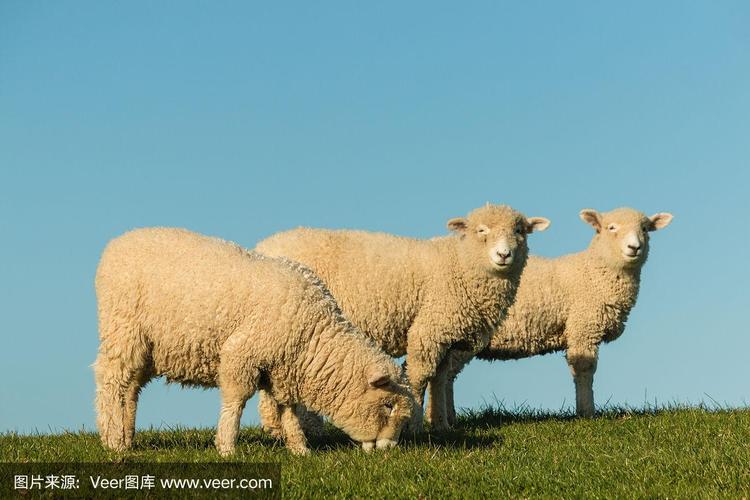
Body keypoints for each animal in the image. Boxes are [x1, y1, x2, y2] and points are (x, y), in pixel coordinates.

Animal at [92, 229, 418, 456]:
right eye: (388, 405)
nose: (389, 450)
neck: (311, 336)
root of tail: (115, 245)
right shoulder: (242, 354)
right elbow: (236, 402)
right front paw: (226, 447)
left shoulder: (282, 367)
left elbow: (288, 409)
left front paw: (299, 449)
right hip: (123, 331)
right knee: (112, 383)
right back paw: (113, 439)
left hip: (147, 348)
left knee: (131, 389)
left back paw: (126, 436)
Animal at [256, 203, 548, 430]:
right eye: (482, 230)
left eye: (519, 231)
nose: (503, 254)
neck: (460, 263)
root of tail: (263, 246)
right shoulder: (428, 330)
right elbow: (419, 377)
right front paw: (415, 425)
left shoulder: (447, 335)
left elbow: (439, 378)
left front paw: (441, 425)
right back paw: (280, 428)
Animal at [434, 207, 676, 422]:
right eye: (611, 227)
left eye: (645, 228)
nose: (634, 247)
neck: (594, 273)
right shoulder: (583, 327)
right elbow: (584, 369)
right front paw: (587, 413)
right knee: (447, 375)